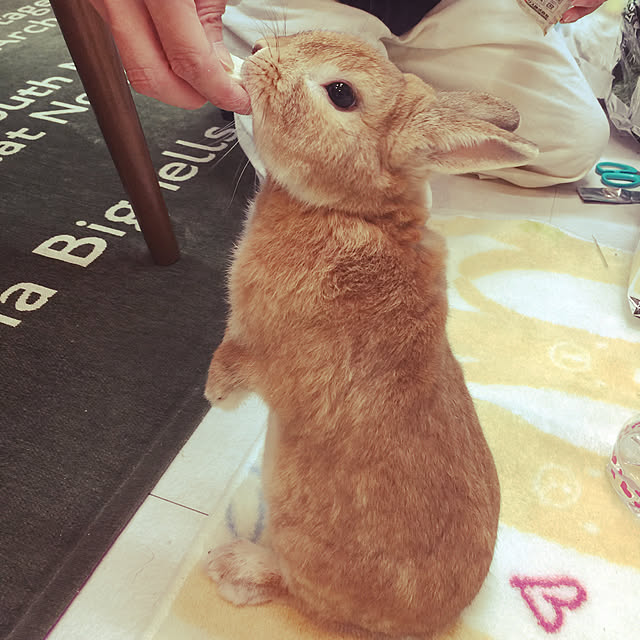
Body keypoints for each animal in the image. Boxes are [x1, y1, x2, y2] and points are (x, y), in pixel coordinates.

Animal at [204, 30, 538, 638]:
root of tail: (437, 619)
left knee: (293, 588)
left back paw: (233, 565)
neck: (352, 210)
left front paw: (215, 397)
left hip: (299, 542)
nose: (258, 50)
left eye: (341, 93)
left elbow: (235, 363)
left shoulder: (253, 338)